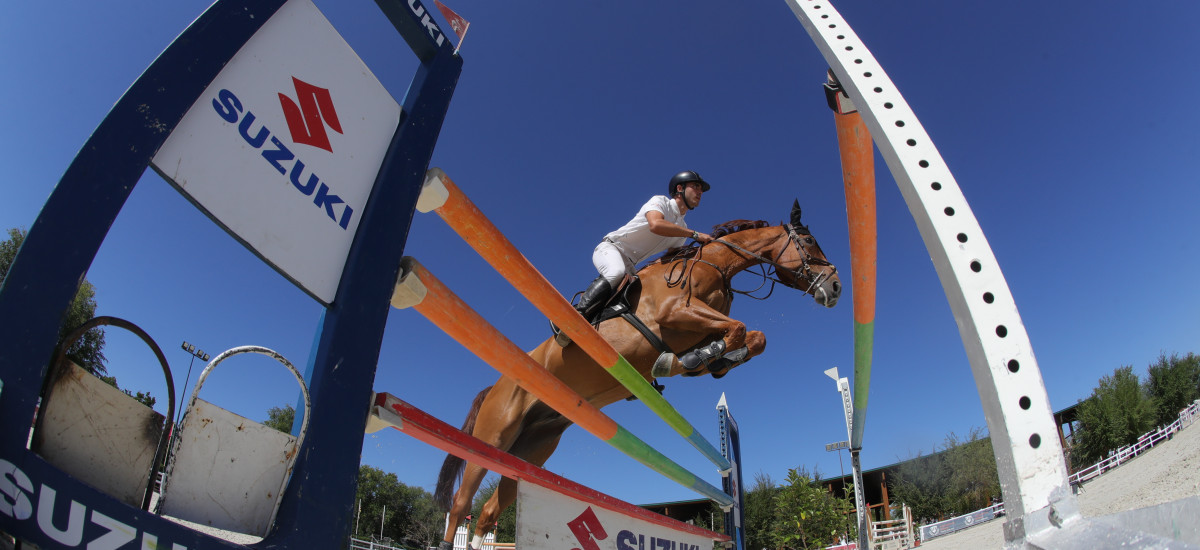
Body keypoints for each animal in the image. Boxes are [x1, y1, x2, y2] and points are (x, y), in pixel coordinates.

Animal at [436, 198, 840, 545]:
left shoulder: (701, 328)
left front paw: (712, 362)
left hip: (533, 448)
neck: (715, 265)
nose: (835, 287)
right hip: (496, 432)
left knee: (489, 512)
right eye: (808, 241)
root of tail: (494, 386)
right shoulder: (674, 312)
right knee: (461, 504)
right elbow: (738, 329)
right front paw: (693, 361)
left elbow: (752, 337)